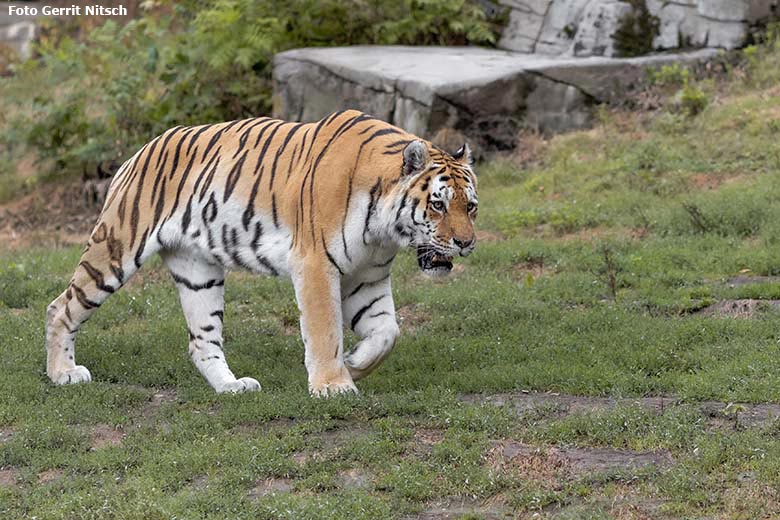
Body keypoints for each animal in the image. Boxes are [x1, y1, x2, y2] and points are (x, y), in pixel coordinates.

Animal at [47, 108, 482, 394]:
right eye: (438, 204)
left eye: (471, 207)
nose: (465, 243)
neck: (384, 232)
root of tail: (137, 154)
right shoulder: (315, 263)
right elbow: (324, 329)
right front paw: (333, 384)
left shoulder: (367, 277)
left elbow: (387, 330)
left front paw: (356, 364)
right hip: (116, 249)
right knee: (60, 307)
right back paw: (63, 374)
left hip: (199, 273)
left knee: (202, 341)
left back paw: (231, 386)